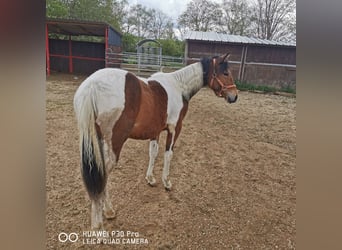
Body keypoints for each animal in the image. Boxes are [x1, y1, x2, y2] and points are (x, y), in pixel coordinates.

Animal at [73, 52, 238, 229]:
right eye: (225, 73)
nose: (234, 96)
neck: (179, 87)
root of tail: (92, 86)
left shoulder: (155, 131)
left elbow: (153, 153)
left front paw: (150, 179)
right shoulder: (174, 129)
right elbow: (168, 155)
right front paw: (166, 182)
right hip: (114, 144)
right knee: (103, 174)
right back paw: (103, 217)